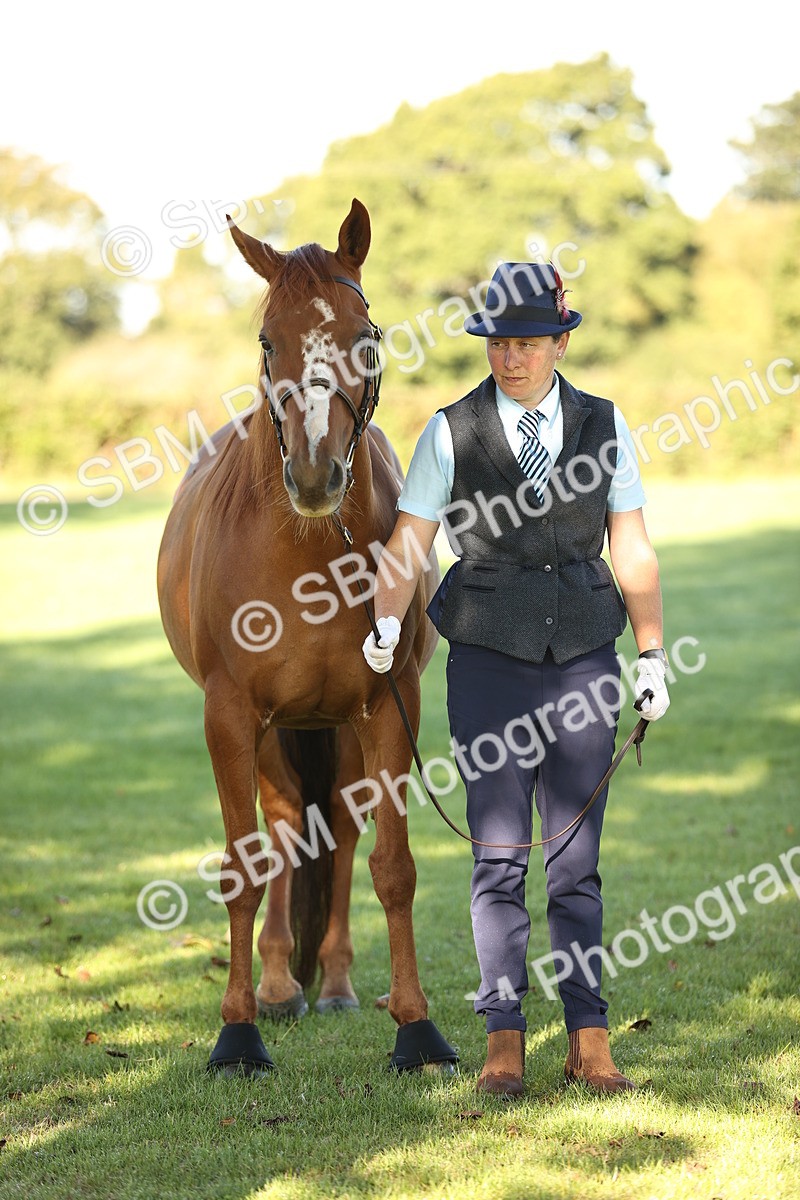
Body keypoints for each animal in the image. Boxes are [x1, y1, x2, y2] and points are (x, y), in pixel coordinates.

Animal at [156, 198, 457, 1075]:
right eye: (266, 340)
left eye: (367, 334)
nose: (318, 474)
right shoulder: (229, 716)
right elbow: (243, 867)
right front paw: (237, 1031)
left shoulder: (391, 706)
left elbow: (394, 868)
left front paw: (417, 1028)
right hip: (271, 731)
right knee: (287, 822)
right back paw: (280, 986)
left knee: (341, 829)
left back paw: (335, 984)